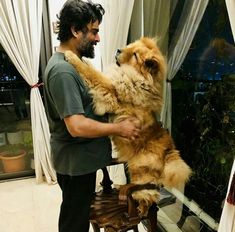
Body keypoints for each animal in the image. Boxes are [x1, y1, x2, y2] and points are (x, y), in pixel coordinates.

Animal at [64, 36, 191, 216]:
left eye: (135, 55)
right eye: (131, 46)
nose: (118, 50)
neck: (136, 78)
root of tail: (170, 148)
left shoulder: (110, 90)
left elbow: (92, 74)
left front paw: (71, 56)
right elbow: (92, 69)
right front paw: (85, 59)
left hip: (140, 174)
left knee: (149, 197)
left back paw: (138, 211)